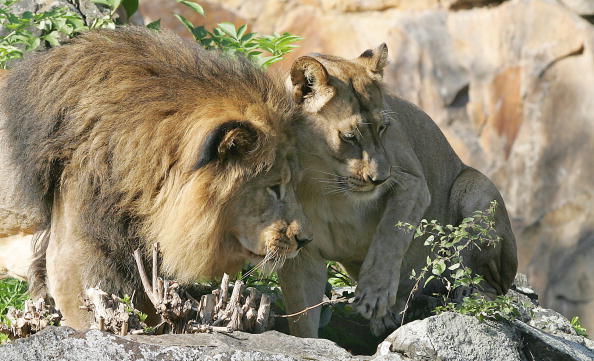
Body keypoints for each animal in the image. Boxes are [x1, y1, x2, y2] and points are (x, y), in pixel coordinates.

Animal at [280, 46, 516, 336]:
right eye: (350, 137)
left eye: (383, 128)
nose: (379, 179)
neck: (323, 183)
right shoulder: (302, 251)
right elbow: (302, 317)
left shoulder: (412, 182)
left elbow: (390, 236)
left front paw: (375, 295)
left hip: (475, 189)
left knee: (493, 289)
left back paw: (469, 294)